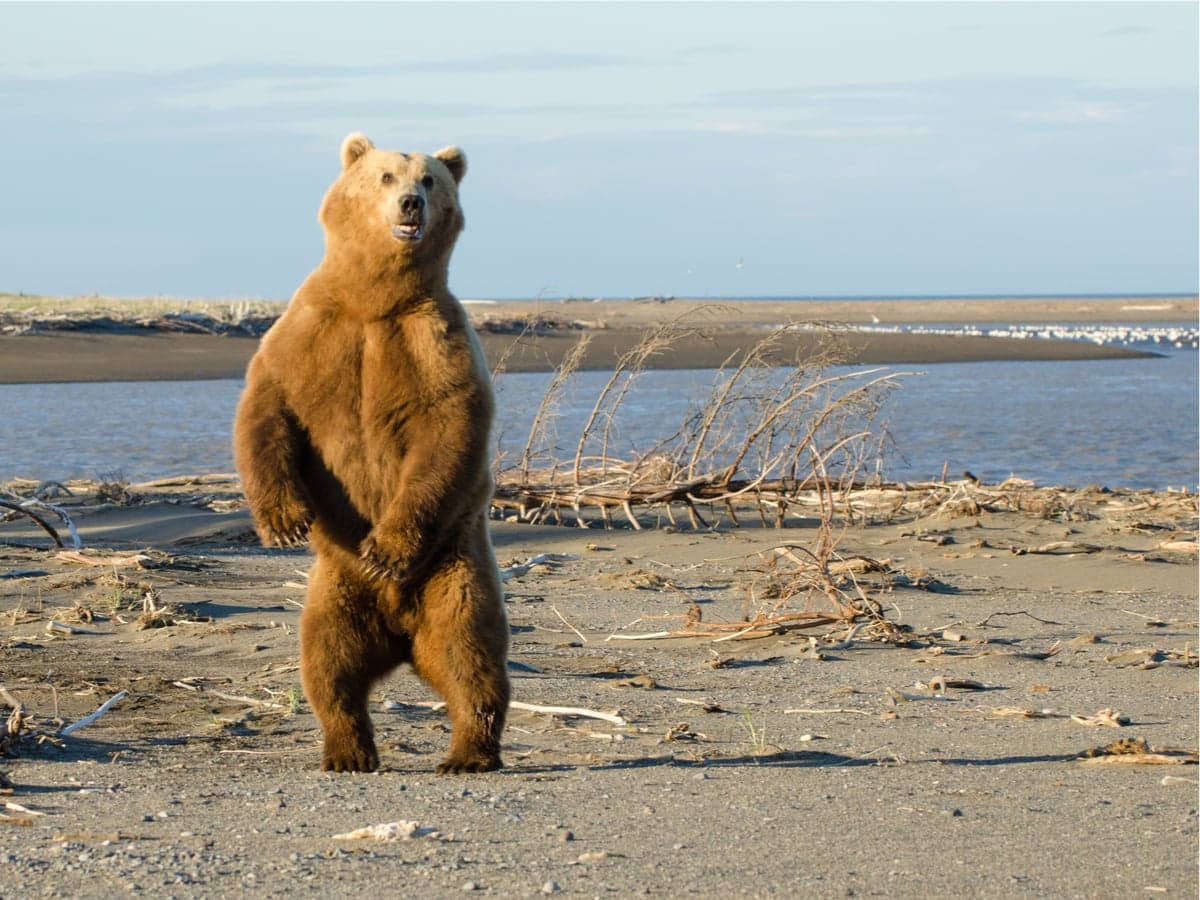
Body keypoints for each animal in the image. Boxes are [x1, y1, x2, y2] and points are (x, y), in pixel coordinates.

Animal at [233, 132, 509, 774]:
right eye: (386, 175)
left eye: (429, 179)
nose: (411, 203)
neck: (376, 299)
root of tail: (401, 634)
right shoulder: (311, 329)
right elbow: (267, 408)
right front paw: (284, 521)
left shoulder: (434, 341)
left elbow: (446, 434)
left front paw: (385, 547)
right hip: (335, 589)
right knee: (329, 664)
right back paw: (348, 748)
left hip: (454, 570)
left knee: (470, 657)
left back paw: (469, 751)